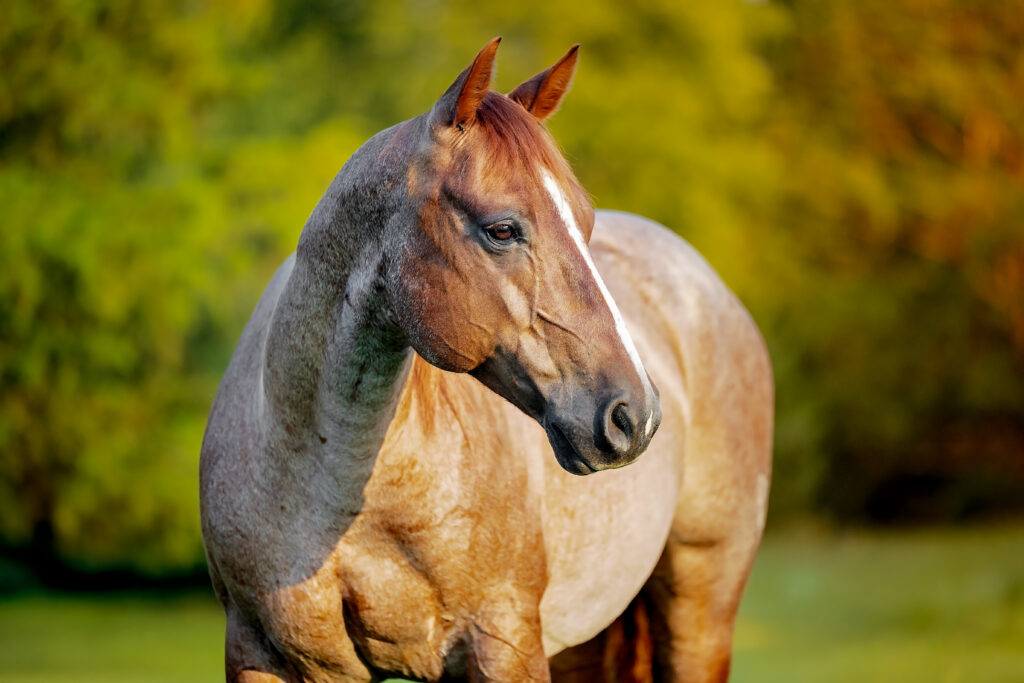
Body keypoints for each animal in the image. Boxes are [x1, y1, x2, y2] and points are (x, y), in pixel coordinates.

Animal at [200, 38, 773, 683]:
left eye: (585, 221)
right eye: (502, 230)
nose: (636, 415)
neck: (330, 476)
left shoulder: (505, 643)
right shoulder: (261, 653)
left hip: (700, 609)